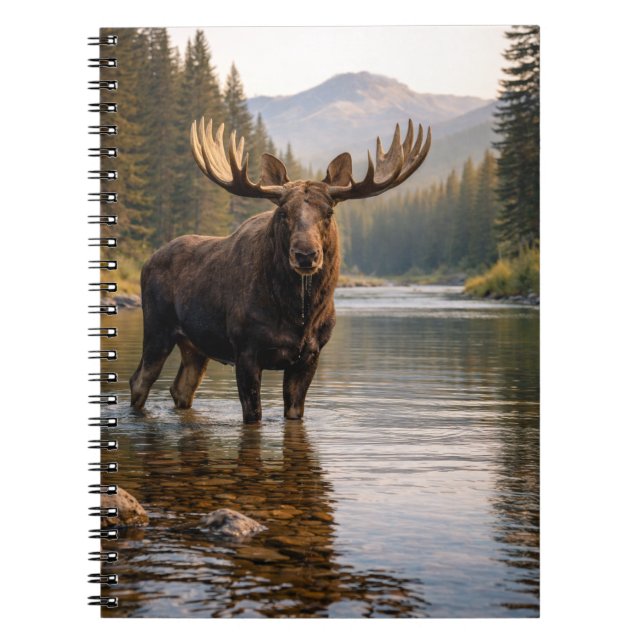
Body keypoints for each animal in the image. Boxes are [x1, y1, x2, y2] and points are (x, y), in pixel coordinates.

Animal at [130, 117, 431, 423]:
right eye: (283, 212)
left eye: (329, 212)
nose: (306, 254)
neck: (297, 314)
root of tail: (147, 262)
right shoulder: (246, 350)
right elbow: (254, 414)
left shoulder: (309, 355)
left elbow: (294, 412)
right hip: (158, 329)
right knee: (139, 380)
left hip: (196, 345)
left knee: (181, 388)